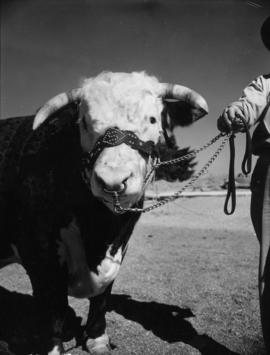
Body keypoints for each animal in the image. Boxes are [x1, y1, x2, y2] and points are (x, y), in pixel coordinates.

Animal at [0, 71, 209, 354]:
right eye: (85, 122)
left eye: (152, 119)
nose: (112, 180)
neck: (99, 230)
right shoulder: (39, 255)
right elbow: (53, 309)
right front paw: (53, 346)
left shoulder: (119, 248)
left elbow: (102, 298)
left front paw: (97, 338)